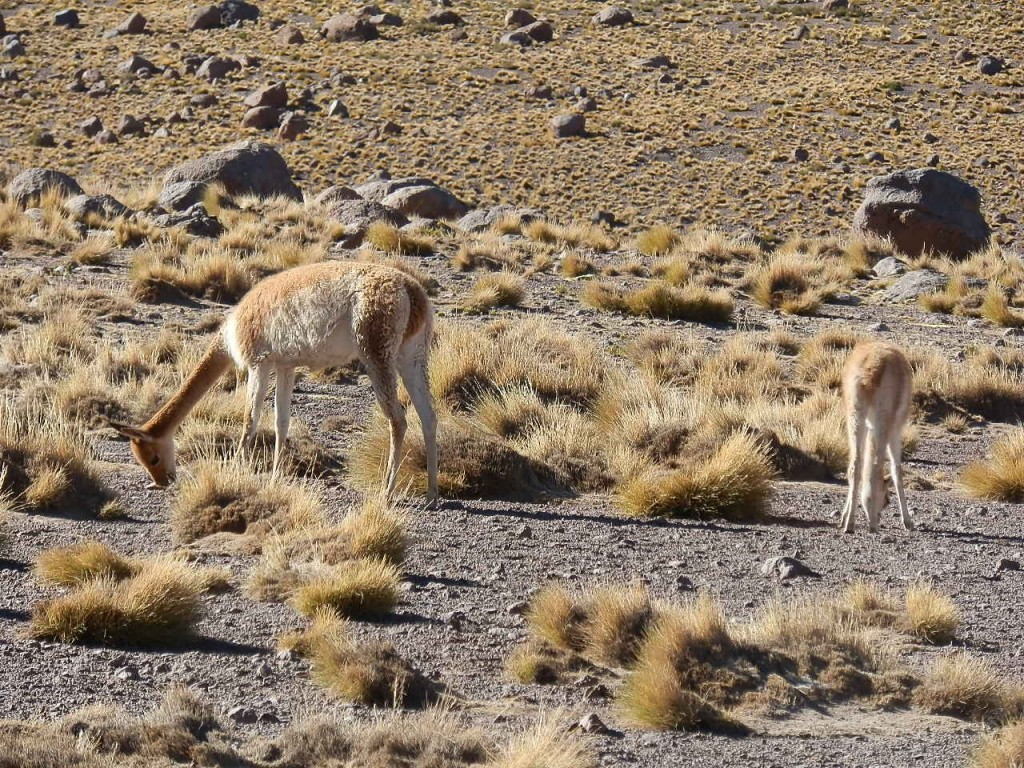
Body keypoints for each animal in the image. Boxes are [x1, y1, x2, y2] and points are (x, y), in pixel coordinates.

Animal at [110, 261, 438, 503]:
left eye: (152, 457)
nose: (164, 481)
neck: (229, 336)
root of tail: (412, 291)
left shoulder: (260, 362)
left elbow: (250, 420)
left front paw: (234, 472)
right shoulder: (285, 366)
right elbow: (281, 421)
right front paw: (275, 475)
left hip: (375, 349)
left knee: (398, 419)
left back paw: (387, 490)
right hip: (412, 354)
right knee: (428, 416)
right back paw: (432, 493)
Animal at [840, 340, 913, 533]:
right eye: (887, 500)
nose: (880, 516)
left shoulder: (868, 426)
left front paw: (843, 518)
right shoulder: (895, 430)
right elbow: (897, 470)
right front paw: (908, 522)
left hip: (855, 418)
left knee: (856, 465)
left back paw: (849, 524)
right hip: (883, 423)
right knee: (875, 465)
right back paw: (871, 524)